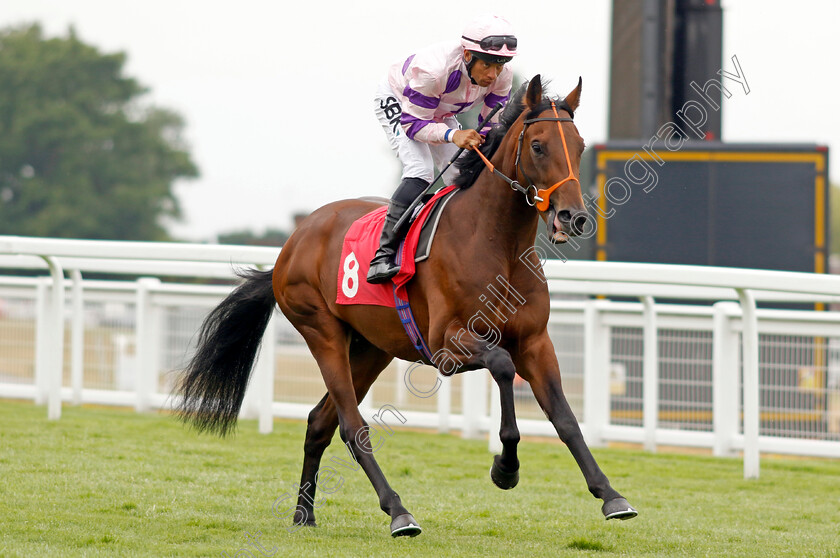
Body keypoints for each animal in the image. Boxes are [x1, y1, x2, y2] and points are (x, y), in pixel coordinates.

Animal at [177, 76, 636, 540]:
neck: (498, 244)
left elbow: (564, 417)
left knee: (319, 422)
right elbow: (504, 366)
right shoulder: (447, 345)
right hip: (321, 332)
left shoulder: (536, 342)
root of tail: (293, 241)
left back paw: (304, 514)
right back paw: (398, 512)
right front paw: (505, 469)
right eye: (539, 146)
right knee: (352, 426)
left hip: (371, 348)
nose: (573, 217)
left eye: (580, 146)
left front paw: (611, 495)